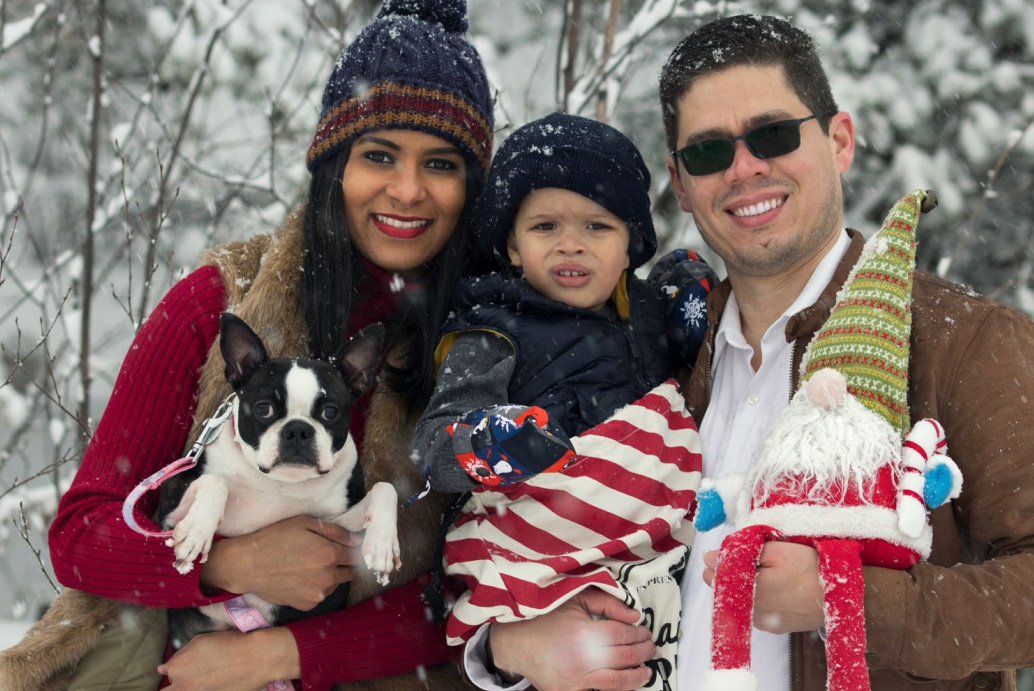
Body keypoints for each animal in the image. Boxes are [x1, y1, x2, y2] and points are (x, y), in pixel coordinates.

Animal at [158, 312, 399, 649]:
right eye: (264, 409)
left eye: (330, 412)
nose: (297, 429)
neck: (280, 483)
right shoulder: (167, 511)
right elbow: (215, 482)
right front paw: (196, 531)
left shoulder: (339, 526)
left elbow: (385, 488)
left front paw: (382, 544)